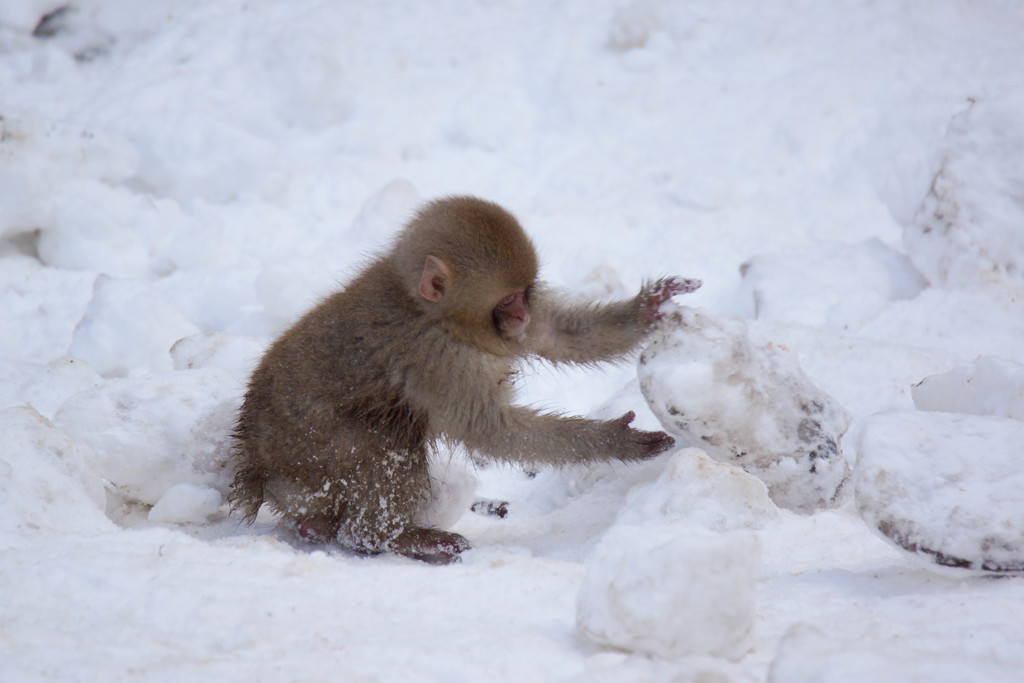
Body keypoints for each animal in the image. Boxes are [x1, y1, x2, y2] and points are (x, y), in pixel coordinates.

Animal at [229, 194, 700, 565]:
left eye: (524, 294)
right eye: (507, 300)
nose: (521, 316)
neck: (438, 315)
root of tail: (255, 463)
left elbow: (557, 334)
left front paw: (647, 308)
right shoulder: (438, 359)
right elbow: (491, 431)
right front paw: (615, 441)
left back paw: (318, 528)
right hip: (311, 453)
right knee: (383, 440)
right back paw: (385, 537)